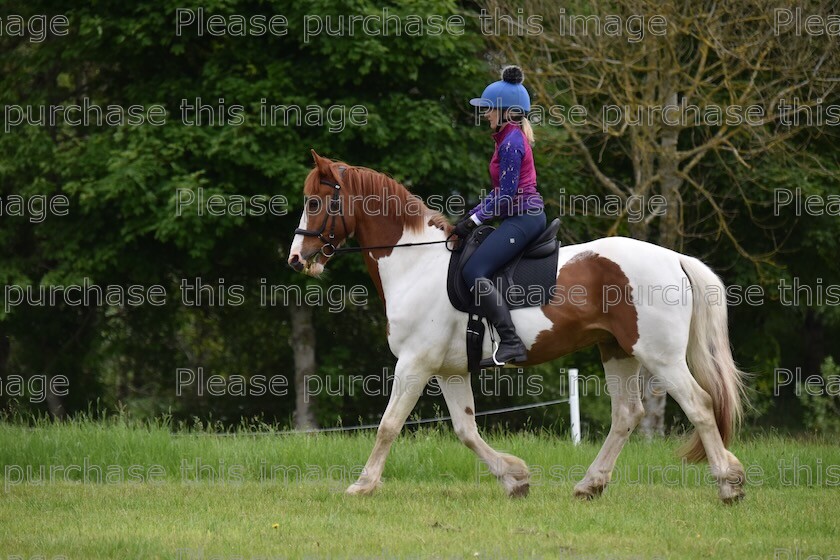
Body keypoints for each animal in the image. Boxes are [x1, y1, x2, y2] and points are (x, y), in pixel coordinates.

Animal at [288, 150, 748, 504]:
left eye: (316, 202)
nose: (296, 259)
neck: (415, 262)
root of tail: (675, 258)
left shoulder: (415, 364)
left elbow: (388, 425)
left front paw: (362, 486)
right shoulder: (449, 370)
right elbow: (466, 430)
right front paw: (515, 478)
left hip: (660, 356)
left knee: (700, 406)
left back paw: (729, 486)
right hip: (618, 350)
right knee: (627, 415)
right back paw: (590, 485)